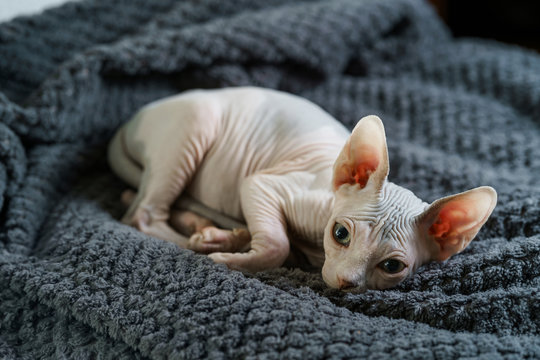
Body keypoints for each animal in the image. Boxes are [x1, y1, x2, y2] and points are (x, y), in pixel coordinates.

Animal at [106, 86, 498, 290]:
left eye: (392, 267)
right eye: (340, 233)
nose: (345, 281)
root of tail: (127, 123)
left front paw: (228, 242)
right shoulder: (264, 185)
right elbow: (277, 245)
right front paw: (229, 256)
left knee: (137, 202)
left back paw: (208, 230)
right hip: (194, 124)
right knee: (142, 215)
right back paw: (201, 241)